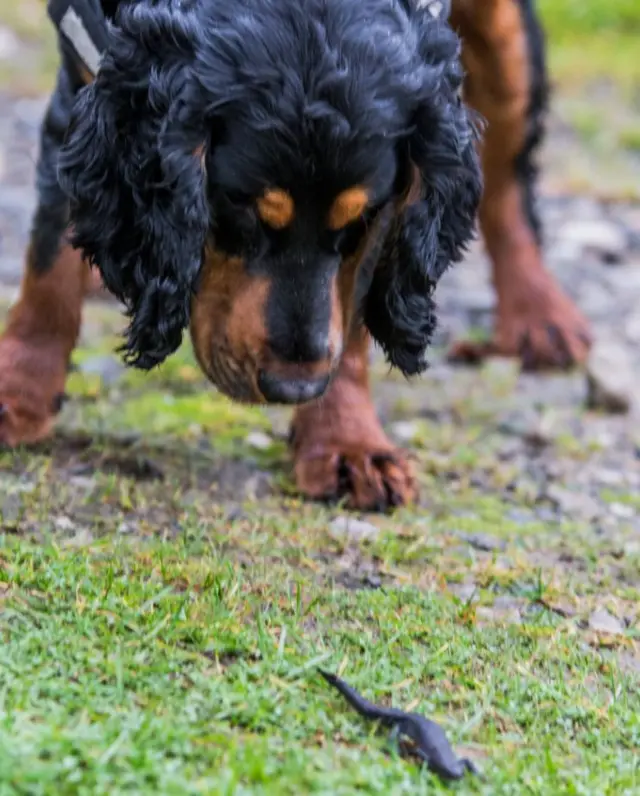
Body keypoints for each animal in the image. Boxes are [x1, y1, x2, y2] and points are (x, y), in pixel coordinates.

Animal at [0, 0, 592, 510]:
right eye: (239, 207)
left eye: (360, 218)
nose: (295, 387)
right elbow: (50, 263)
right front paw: (20, 391)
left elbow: (350, 310)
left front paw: (346, 441)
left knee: (509, 182)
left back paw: (539, 315)